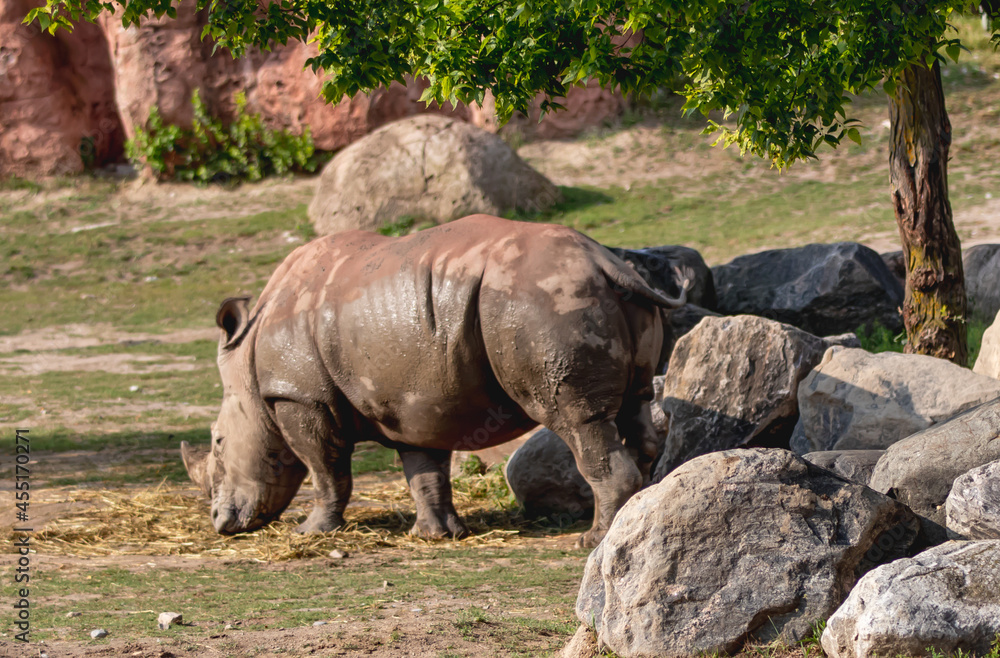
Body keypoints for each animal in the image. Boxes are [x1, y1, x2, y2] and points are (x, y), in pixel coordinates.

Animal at [181, 215, 687, 548]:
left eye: (219, 442)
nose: (220, 522)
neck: (247, 360)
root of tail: (605, 262)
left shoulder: (299, 397)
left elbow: (325, 468)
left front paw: (311, 532)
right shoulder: (415, 400)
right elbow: (424, 470)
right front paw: (436, 535)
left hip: (542, 302)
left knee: (578, 421)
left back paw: (592, 541)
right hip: (598, 301)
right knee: (636, 404)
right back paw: (633, 519)